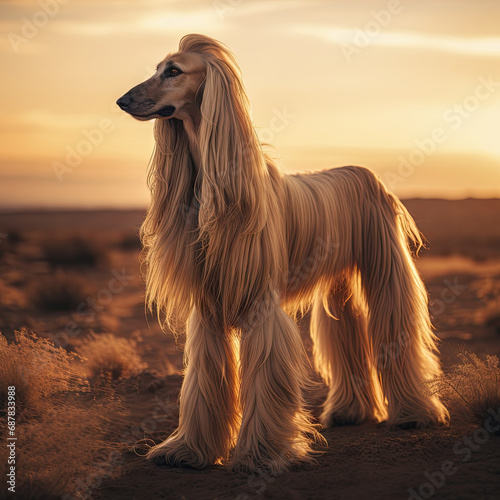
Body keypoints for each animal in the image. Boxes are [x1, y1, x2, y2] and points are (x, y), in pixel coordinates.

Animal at [118, 33, 450, 470]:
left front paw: (261, 453)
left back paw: (414, 413)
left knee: (394, 325)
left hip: (386, 265)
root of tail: (363, 170)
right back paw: (350, 410)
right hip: (339, 278)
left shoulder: (260, 301)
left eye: (174, 70)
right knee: (345, 324)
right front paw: (189, 449)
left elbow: (265, 371)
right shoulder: (208, 305)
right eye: (158, 68)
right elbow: (203, 376)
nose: (123, 100)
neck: (215, 186)